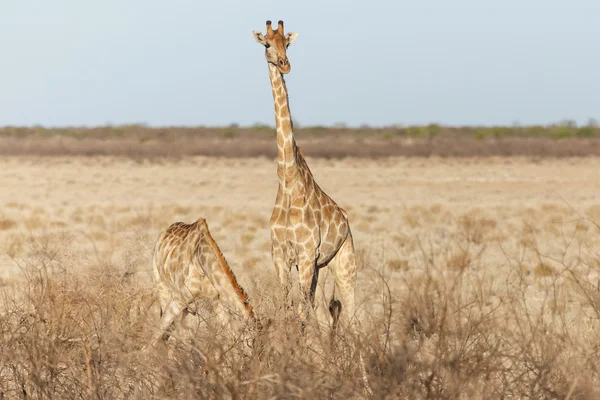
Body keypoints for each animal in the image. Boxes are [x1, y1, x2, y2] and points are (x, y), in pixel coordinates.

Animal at [146, 217, 256, 352]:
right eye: (249, 339)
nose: (252, 355)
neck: (201, 263)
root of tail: (163, 233)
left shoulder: (214, 300)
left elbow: (230, 334)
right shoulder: (178, 300)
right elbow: (158, 337)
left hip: (186, 308)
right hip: (161, 287)